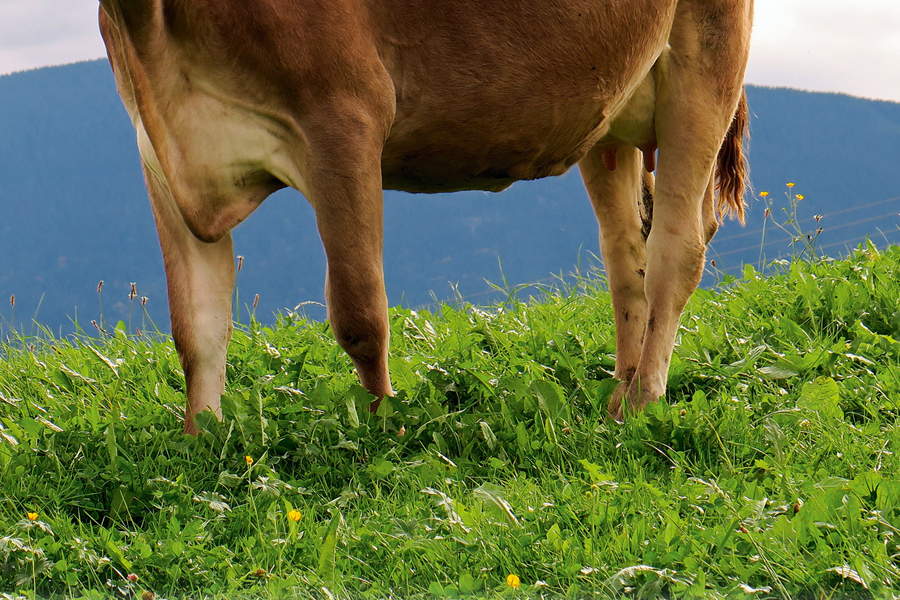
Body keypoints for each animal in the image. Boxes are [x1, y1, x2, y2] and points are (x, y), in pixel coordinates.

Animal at [98, 0, 752, 432]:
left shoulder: (344, 116)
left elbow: (359, 312)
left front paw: (384, 424)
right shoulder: (160, 157)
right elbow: (196, 329)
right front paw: (202, 440)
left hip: (708, 50)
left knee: (677, 248)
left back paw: (643, 405)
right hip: (611, 112)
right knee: (626, 256)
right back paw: (619, 395)